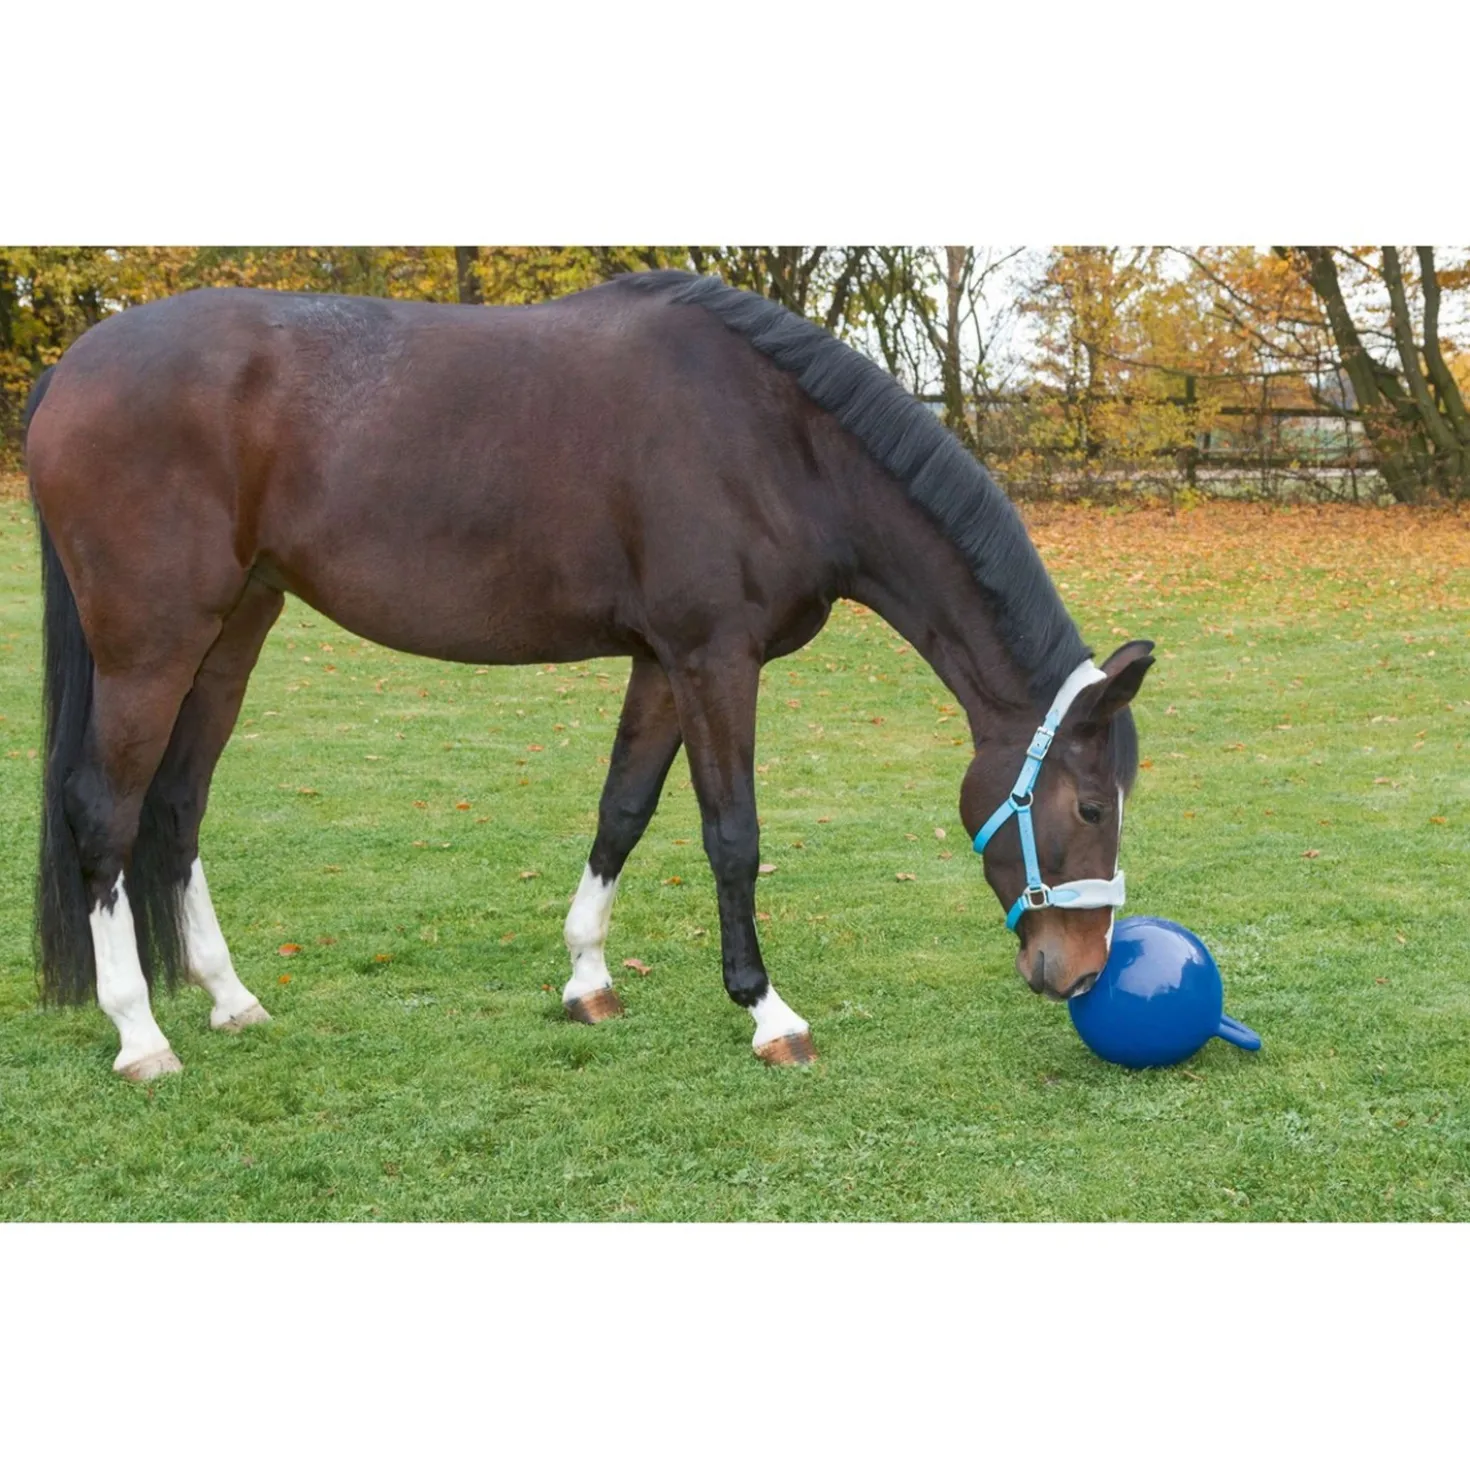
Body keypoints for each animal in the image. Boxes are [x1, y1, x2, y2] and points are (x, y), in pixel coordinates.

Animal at [23, 269, 1153, 1081]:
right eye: (1091, 806)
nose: (1082, 970)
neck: (778, 442)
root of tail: (74, 367)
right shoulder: (714, 659)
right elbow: (732, 836)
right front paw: (767, 1011)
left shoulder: (662, 663)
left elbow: (624, 810)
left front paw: (587, 978)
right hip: (150, 645)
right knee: (105, 814)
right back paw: (140, 1034)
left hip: (232, 633)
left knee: (176, 807)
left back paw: (229, 998)